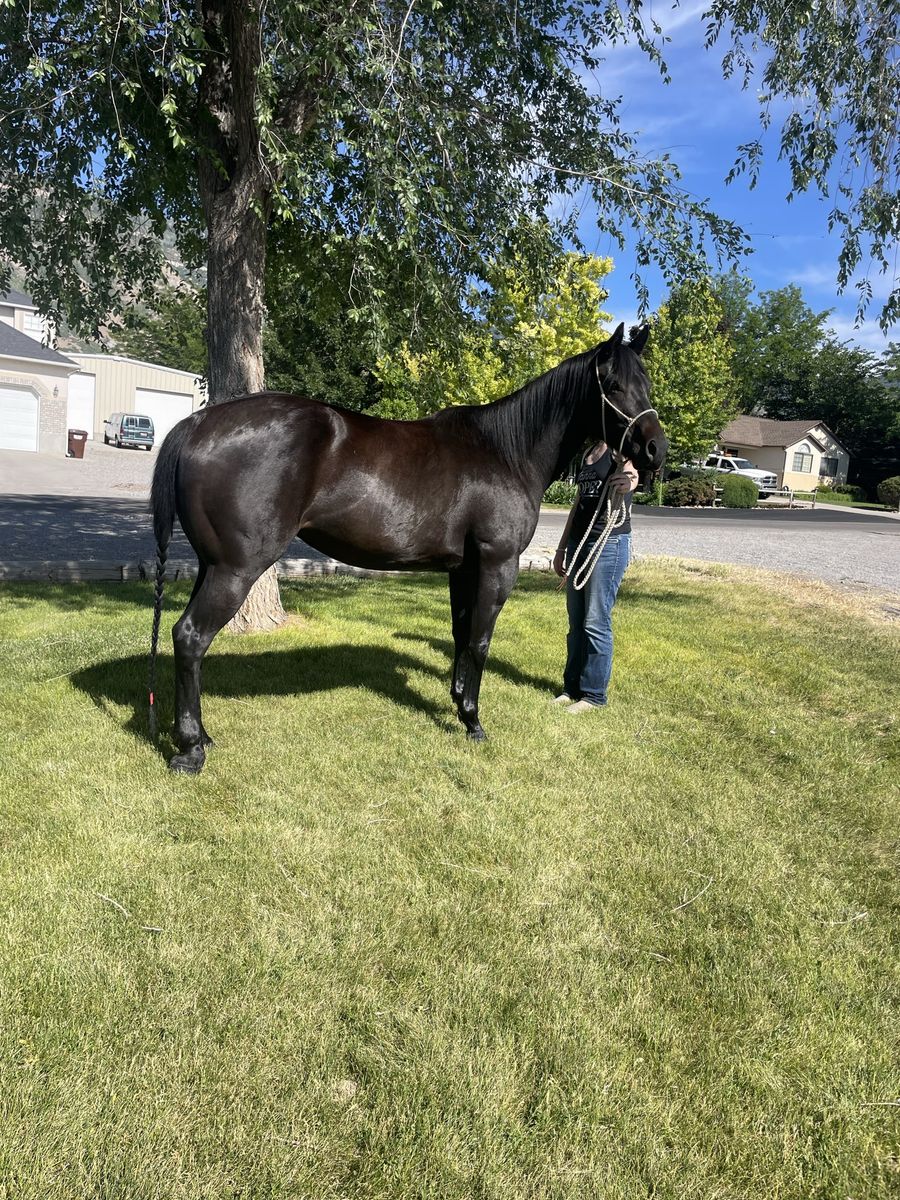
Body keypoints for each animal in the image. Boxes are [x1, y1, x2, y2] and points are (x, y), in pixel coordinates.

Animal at [148, 322, 665, 773]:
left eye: (646, 382)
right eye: (612, 384)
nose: (655, 450)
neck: (506, 451)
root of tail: (198, 423)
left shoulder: (463, 569)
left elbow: (461, 634)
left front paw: (458, 704)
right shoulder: (497, 564)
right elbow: (480, 641)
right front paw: (474, 722)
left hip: (212, 564)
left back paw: (201, 734)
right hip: (235, 568)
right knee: (190, 636)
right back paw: (191, 750)